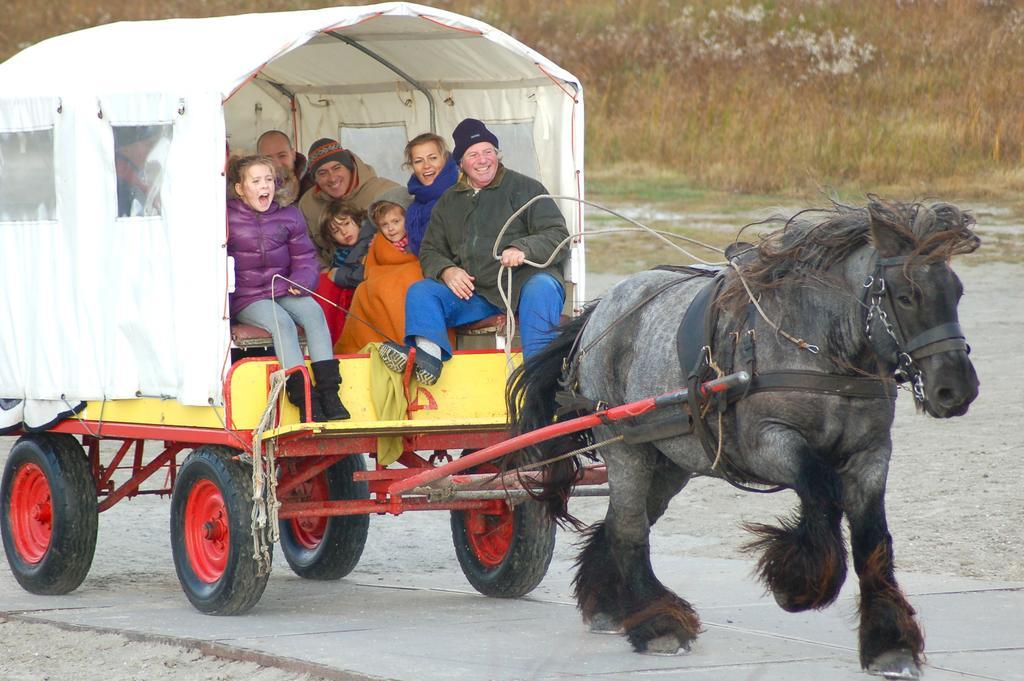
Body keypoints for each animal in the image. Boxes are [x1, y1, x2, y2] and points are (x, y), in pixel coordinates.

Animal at [507, 196, 978, 675]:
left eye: (957, 292)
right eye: (906, 296)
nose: (956, 389)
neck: (819, 348)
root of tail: (600, 314)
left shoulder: (871, 453)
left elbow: (873, 541)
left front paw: (889, 642)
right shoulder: (769, 443)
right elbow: (822, 493)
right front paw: (798, 581)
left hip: (669, 459)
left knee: (626, 520)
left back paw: (609, 603)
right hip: (626, 449)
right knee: (629, 528)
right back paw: (658, 624)